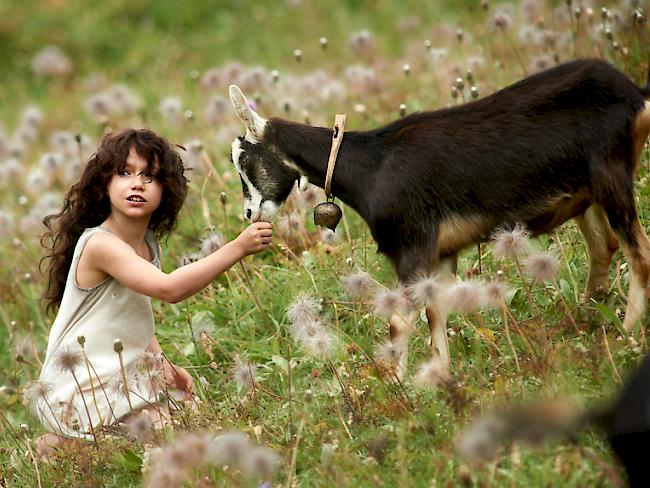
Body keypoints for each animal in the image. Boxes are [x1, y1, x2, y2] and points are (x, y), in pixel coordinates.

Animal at [227, 59, 648, 372]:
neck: (373, 167)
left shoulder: (413, 247)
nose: (249, 213)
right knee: (604, 247)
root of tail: (634, 94)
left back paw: (626, 336)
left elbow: (399, 321)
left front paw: (400, 390)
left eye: (244, 158)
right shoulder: (441, 254)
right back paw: (584, 322)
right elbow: (436, 314)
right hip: (587, 194)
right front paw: (439, 380)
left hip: (611, 177)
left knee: (638, 253)